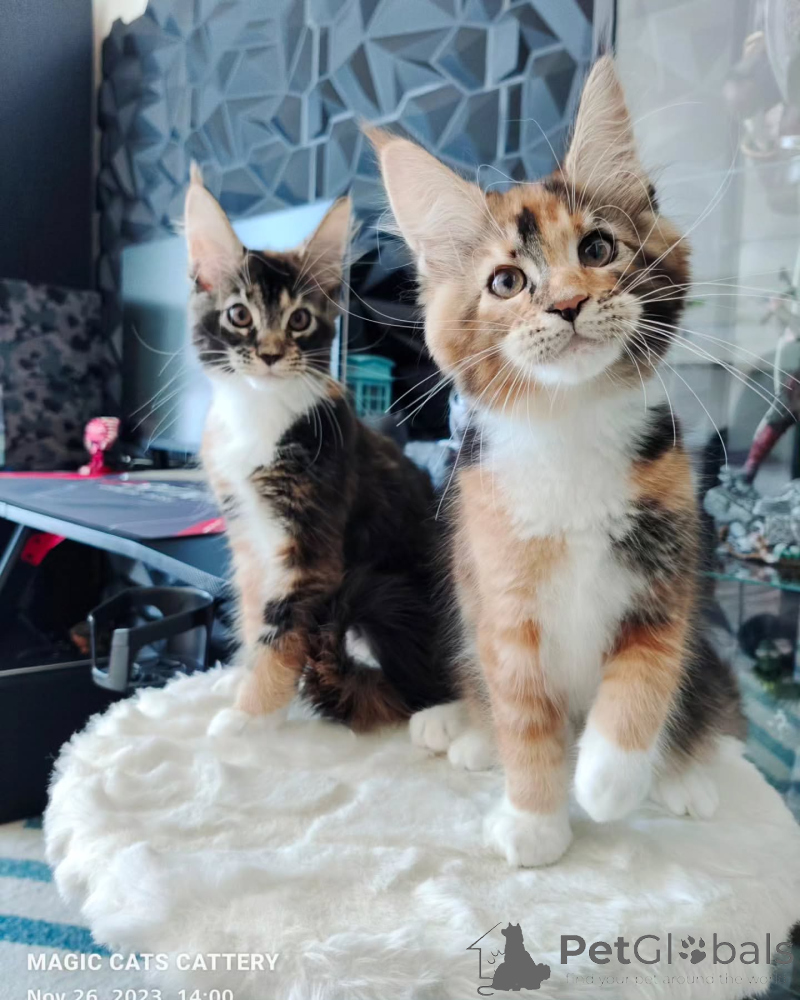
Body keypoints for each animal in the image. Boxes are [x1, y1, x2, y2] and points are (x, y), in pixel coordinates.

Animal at [184, 167, 452, 732]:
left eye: (300, 320)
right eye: (239, 315)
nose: (268, 354)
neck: (257, 413)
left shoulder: (312, 543)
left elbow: (283, 627)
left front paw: (248, 717)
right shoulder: (247, 537)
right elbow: (252, 612)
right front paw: (240, 681)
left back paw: (445, 718)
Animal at [369, 57, 744, 866]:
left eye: (598, 249)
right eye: (507, 281)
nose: (569, 304)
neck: (571, 428)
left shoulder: (668, 569)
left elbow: (644, 674)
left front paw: (608, 780)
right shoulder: (498, 586)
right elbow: (523, 713)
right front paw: (536, 820)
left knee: (702, 702)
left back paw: (687, 775)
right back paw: (461, 727)